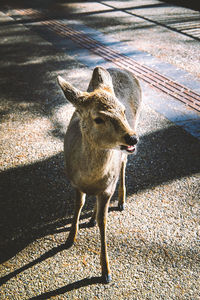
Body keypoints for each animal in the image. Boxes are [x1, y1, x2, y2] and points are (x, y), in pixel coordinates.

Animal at [57, 66, 142, 284]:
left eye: (123, 111)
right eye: (98, 118)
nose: (133, 138)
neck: (90, 178)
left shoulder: (107, 189)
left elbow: (104, 223)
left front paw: (106, 272)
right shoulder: (74, 182)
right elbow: (78, 206)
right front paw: (70, 239)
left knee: (123, 164)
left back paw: (121, 201)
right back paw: (92, 218)